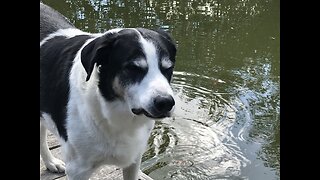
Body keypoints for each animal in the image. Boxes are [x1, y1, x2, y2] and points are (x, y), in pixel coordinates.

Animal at [40, 2, 178, 180]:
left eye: (168, 68)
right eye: (133, 68)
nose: (165, 102)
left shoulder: (134, 158)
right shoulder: (77, 169)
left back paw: (51, 162)